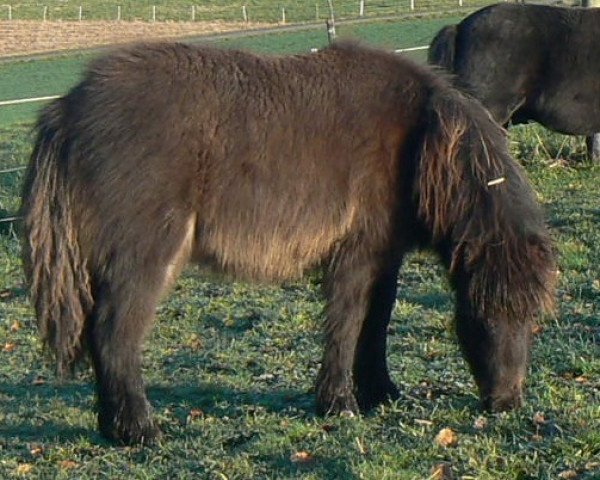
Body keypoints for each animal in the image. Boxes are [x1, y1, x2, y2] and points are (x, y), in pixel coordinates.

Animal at [21, 43, 556, 444]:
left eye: (533, 318)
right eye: (482, 312)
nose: (507, 402)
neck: (421, 137)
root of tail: (66, 109)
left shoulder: (383, 256)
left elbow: (376, 322)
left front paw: (380, 391)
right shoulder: (355, 256)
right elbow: (347, 323)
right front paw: (339, 404)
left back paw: (112, 426)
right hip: (144, 258)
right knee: (114, 335)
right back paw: (139, 430)